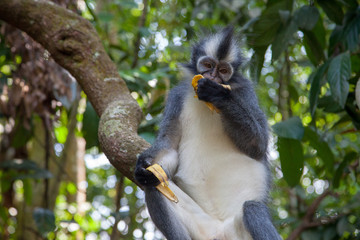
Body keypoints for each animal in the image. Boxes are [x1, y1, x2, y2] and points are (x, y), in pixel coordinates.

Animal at [135, 26, 282, 240]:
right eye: (207, 65)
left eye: (223, 70)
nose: (212, 77)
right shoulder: (177, 97)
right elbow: (169, 147)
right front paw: (142, 166)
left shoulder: (245, 92)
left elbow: (258, 144)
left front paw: (218, 94)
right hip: (204, 229)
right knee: (154, 185)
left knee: (252, 208)